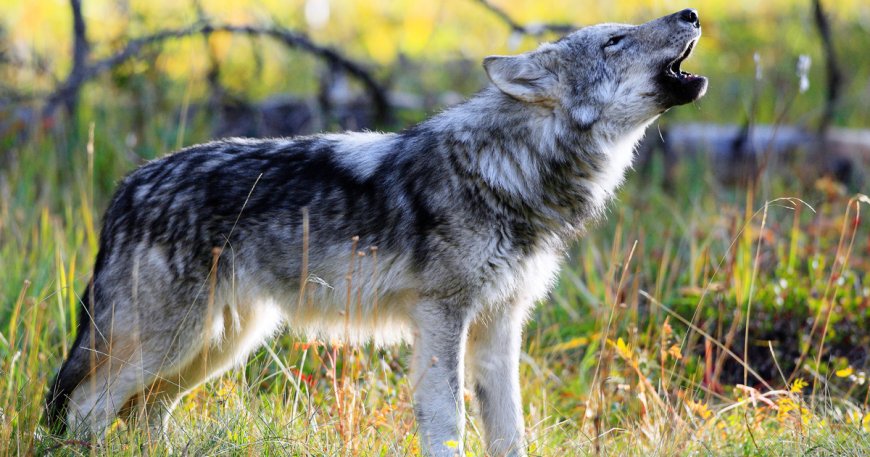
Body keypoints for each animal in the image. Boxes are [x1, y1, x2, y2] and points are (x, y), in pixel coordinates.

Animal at [46, 8, 708, 456]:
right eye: (614, 40)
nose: (690, 12)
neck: (510, 168)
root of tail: (127, 188)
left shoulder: (500, 325)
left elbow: (510, 430)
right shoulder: (442, 317)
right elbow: (447, 422)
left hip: (216, 346)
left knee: (142, 414)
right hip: (172, 343)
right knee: (86, 409)